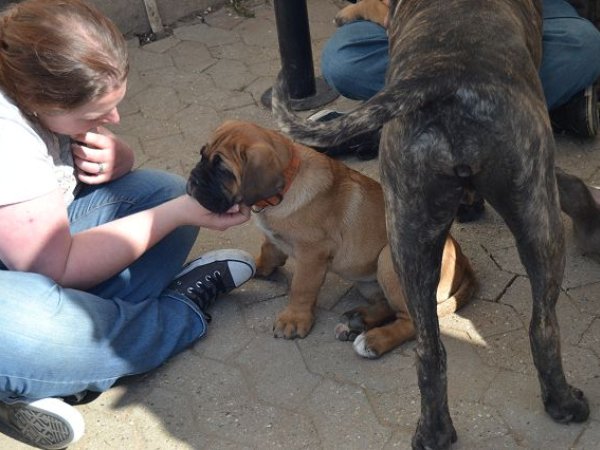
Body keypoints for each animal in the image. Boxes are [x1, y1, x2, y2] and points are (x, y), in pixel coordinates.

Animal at [186, 119, 476, 358]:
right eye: (202, 156)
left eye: (223, 170)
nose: (193, 179)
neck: (286, 186)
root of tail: (463, 260)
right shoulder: (275, 239)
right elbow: (269, 251)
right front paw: (256, 267)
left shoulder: (312, 255)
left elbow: (301, 288)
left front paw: (294, 320)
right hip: (368, 280)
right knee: (389, 306)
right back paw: (360, 319)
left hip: (388, 260)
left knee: (412, 321)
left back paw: (373, 340)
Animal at [270, 0, 590, 448]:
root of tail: (442, 79)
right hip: (539, 214)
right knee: (543, 326)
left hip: (408, 236)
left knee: (430, 347)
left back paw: (435, 427)